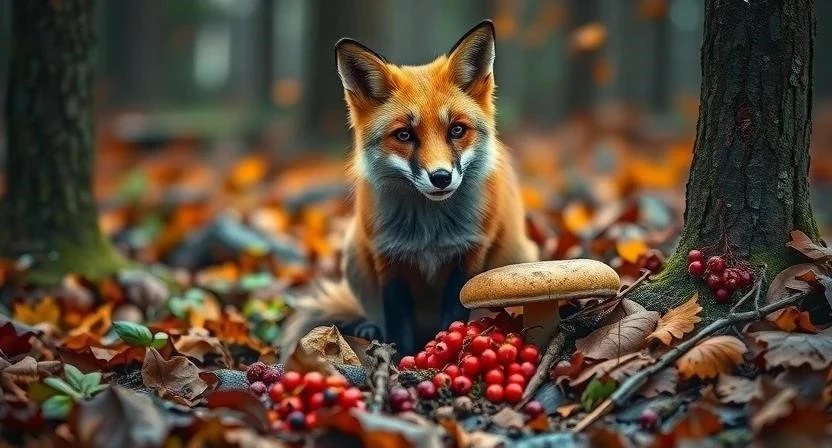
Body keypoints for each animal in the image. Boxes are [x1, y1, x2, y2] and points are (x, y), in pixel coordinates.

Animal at [280, 20, 538, 359]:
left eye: (457, 130)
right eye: (404, 135)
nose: (441, 177)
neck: (429, 233)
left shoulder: (469, 255)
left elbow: (452, 318)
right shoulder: (388, 258)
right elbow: (397, 323)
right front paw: (400, 360)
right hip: (354, 255)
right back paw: (368, 329)